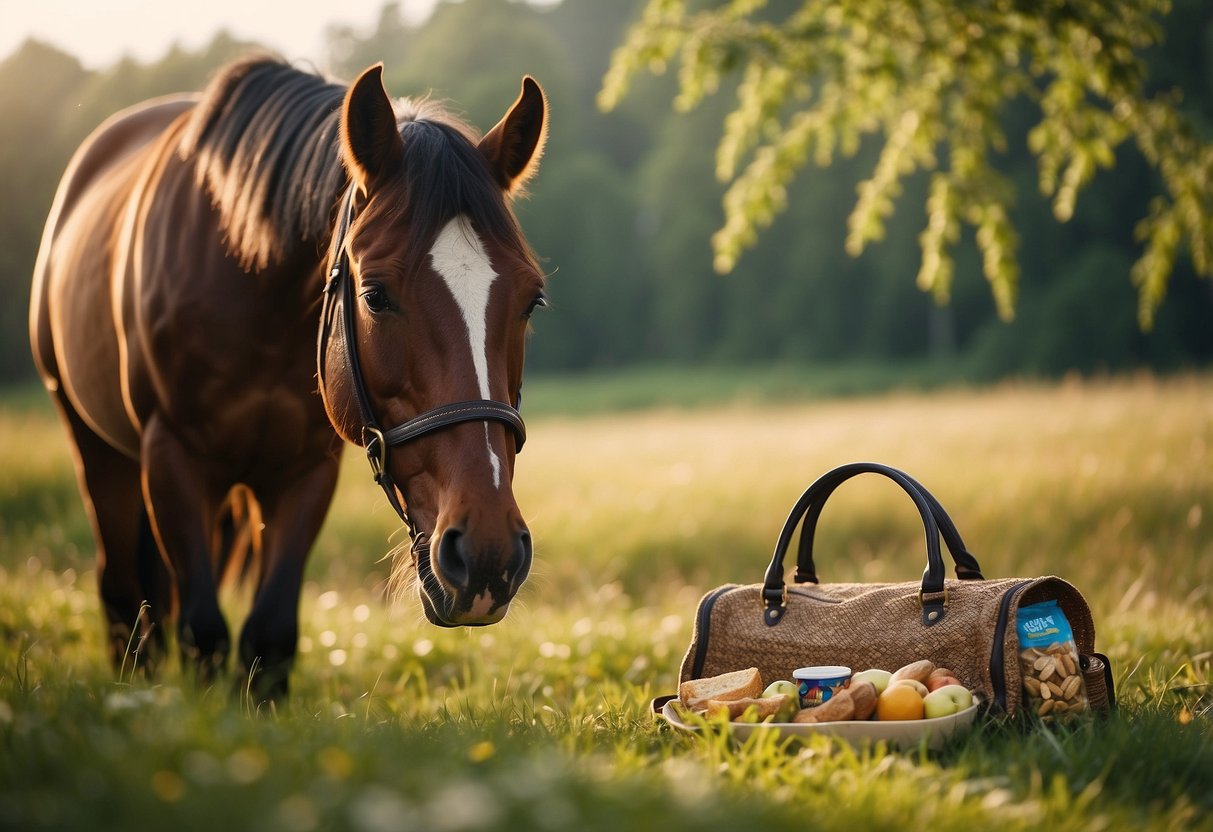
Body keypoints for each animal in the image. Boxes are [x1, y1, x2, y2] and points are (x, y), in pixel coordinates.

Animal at [28, 55, 550, 698]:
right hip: (97, 447)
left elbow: (268, 637)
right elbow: (204, 632)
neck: (252, 280)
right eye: (375, 296)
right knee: (123, 593)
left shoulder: (305, 470)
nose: (487, 553)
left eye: (532, 301)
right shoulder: (172, 456)